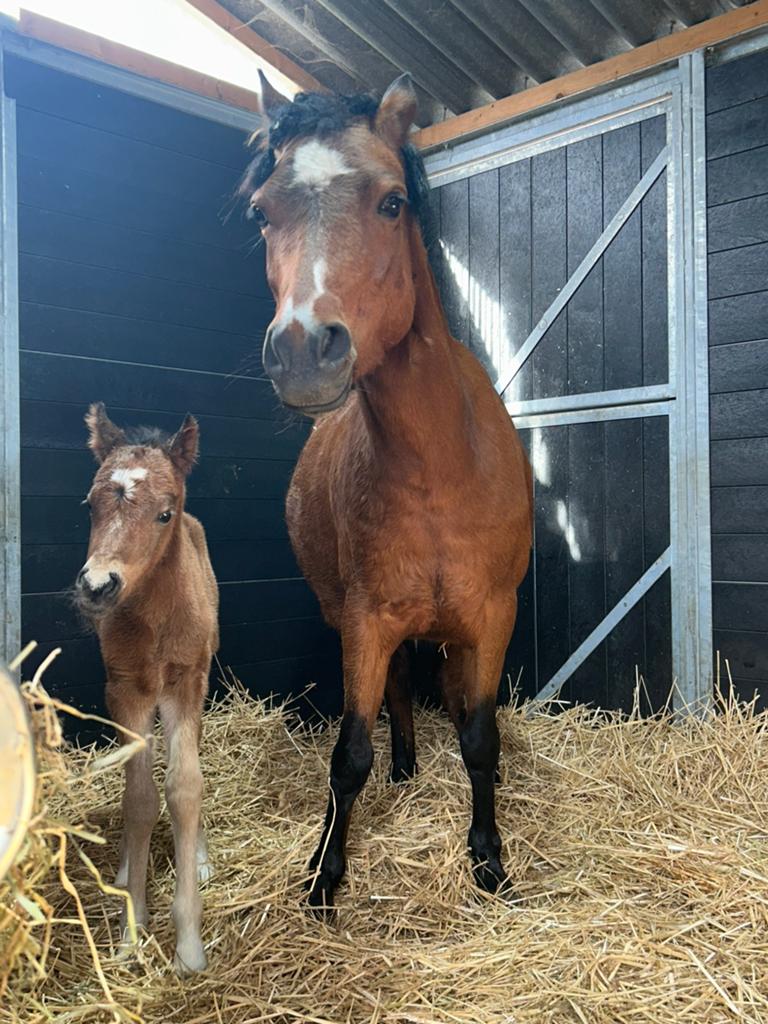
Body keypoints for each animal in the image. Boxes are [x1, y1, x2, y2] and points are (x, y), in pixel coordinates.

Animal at [73, 402, 219, 974]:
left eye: (165, 512)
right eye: (90, 505)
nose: (97, 587)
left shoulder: (185, 684)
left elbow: (184, 787)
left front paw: (189, 944)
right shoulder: (126, 691)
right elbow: (138, 797)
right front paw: (131, 927)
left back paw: (198, 856)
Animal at [241, 72, 532, 909]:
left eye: (392, 202)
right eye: (261, 211)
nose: (305, 351)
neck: (440, 469)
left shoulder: (490, 619)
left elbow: (479, 737)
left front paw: (488, 858)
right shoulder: (366, 621)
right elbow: (349, 754)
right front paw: (324, 874)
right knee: (397, 690)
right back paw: (403, 765)